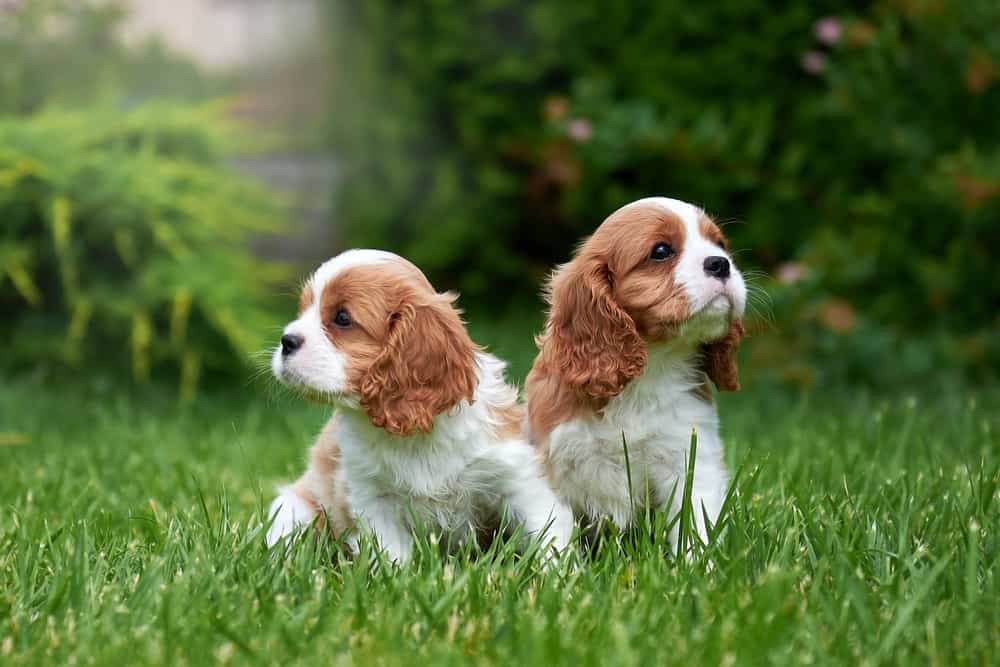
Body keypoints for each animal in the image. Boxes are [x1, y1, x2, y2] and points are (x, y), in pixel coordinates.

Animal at [266, 250, 576, 564]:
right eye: (303, 309)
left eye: (342, 318)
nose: (286, 341)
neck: (413, 434)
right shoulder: (372, 499)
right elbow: (392, 555)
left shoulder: (517, 479)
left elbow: (547, 534)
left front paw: (555, 573)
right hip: (294, 508)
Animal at [524, 197, 744, 548]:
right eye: (661, 251)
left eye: (720, 244)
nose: (721, 264)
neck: (651, 367)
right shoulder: (553, 464)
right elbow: (555, 529)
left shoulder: (690, 457)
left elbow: (695, 523)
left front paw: (699, 562)